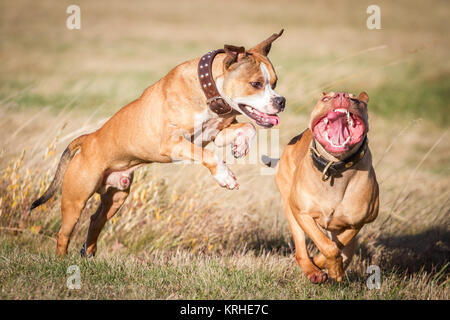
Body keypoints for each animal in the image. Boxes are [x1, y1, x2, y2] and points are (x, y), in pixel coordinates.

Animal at [30, 30, 284, 258]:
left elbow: (249, 128)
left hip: (117, 196)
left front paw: (241, 145)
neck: (207, 89)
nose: (281, 101)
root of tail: (88, 138)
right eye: (256, 83)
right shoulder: (172, 144)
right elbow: (210, 156)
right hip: (76, 199)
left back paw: (89, 255)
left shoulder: (217, 133)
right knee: (64, 232)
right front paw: (225, 177)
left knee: (95, 220)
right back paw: (62, 262)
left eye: (274, 83)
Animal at [272, 90, 378, 282]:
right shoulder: (302, 213)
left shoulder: (357, 222)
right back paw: (313, 271)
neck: (334, 167)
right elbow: (327, 245)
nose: (342, 95)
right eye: (326, 98)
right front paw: (325, 266)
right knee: (301, 250)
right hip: (290, 209)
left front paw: (333, 268)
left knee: (345, 250)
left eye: (355, 100)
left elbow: (337, 245)